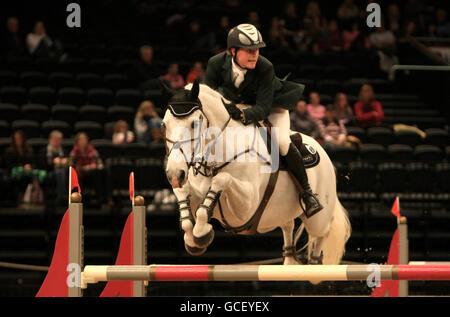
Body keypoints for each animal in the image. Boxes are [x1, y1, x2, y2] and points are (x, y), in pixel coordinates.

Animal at [163, 81, 352, 264]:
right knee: (288, 228)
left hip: (318, 219)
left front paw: (202, 233)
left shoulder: (247, 206)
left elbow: (222, 179)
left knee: (322, 234)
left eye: (194, 123)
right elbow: (183, 193)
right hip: (282, 214)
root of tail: (322, 150)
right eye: (164, 124)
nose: (174, 174)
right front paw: (192, 239)